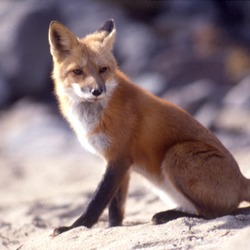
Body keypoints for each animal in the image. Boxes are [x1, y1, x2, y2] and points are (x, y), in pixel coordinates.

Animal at [48, 19, 250, 236]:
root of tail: (241, 179)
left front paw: (73, 227)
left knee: (215, 213)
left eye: (103, 69)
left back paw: (167, 216)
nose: (97, 91)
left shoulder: (119, 157)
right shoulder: (120, 163)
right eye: (78, 71)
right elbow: (115, 207)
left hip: (177, 153)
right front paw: (113, 228)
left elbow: (97, 201)